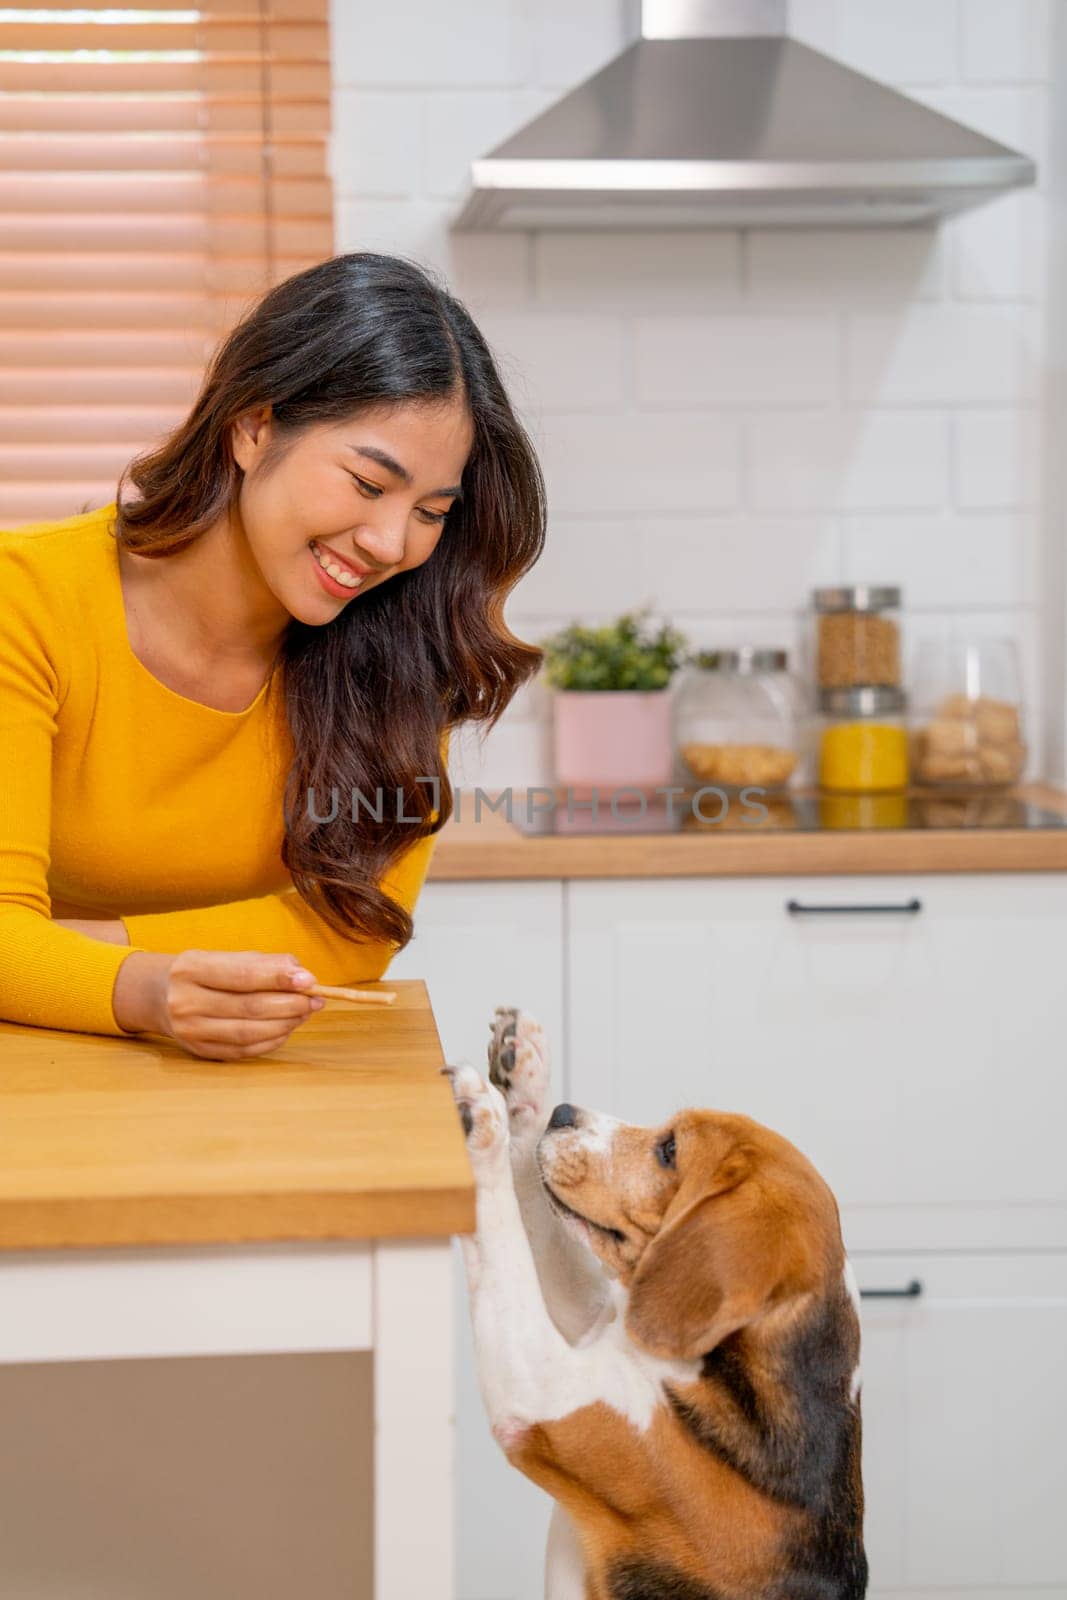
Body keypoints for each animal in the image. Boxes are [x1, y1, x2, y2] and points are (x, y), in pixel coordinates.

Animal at [447, 1011, 863, 1600]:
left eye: (669, 1150)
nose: (562, 1113)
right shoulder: (601, 1323)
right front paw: (521, 1071)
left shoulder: (546, 1396)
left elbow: (505, 1235)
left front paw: (483, 1119)